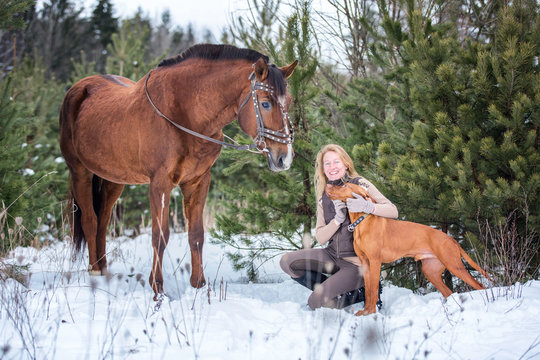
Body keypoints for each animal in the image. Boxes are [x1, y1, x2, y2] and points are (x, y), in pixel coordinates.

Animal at [60, 43, 298, 300]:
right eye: (265, 103)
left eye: (289, 102)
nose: (284, 158)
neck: (185, 113)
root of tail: (79, 88)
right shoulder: (160, 184)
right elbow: (160, 236)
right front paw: (157, 289)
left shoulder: (198, 181)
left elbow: (196, 235)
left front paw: (199, 286)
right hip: (80, 172)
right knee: (90, 220)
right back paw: (94, 272)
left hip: (113, 179)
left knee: (103, 220)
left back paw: (103, 270)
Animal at [324, 183, 494, 316]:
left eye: (345, 185)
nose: (327, 185)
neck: (361, 222)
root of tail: (451, 238)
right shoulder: (364, 263)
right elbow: (367, 291)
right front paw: (365, 311)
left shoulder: (375, 261)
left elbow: (373, 290)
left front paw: (371, 313)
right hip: (431, 271)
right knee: (449, 292)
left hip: (454, 265)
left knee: (480, 286)